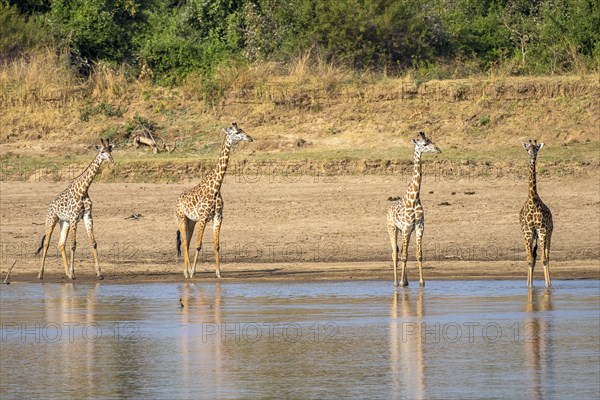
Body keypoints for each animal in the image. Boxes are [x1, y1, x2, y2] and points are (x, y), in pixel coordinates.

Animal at [35, 139, 113, 280]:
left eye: (110, 150)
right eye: (102, 152)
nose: (111, 159)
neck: (83, 190)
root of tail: (49, 206)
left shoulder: (87, 216)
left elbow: (93, 243)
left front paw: (99, 273)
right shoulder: (74, 218)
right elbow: (73, 245)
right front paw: (73, 272)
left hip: (64, 222)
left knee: (61, 244)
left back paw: (66, 273)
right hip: (51, 220)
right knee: (47, 243)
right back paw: (40, 274)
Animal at [175, 121, 252, 278]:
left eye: (243, 130)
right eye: (236, 133)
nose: (250, 138)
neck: (216, 187)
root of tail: (177, 200)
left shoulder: (218, 217)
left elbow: (216, 245)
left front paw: (218, 273)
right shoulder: (203, 217)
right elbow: (199, 245)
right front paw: (193, 272)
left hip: (191, 221)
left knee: (187, 242)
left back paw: (185, 271)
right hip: (181, 218)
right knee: (185, 242)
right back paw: (187, 272)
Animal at [384, 133, 440, 286]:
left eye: (431, 141)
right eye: (424, 144)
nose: (438, 149)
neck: (414, 198)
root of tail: (388, 209)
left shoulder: (419, 227)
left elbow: (418, 254)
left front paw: (421, 282)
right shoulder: (407, 227)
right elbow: (404, 256)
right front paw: (401, 283)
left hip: (403, 231)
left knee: (402, 252)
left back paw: (405, 280)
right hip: (392, 228)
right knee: (395, 253)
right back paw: (396, 282)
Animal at [516, 140, 556, 288]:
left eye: (537, 149)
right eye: (528, 150)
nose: (532, 157)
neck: (532, 201)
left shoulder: (542, 230)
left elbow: (543, 259)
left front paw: (548, 286)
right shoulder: (528, 232)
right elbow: (530, 259)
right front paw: (529, 286)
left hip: (548, 233)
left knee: (547, 256)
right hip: (532, 236)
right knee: (533, 256)